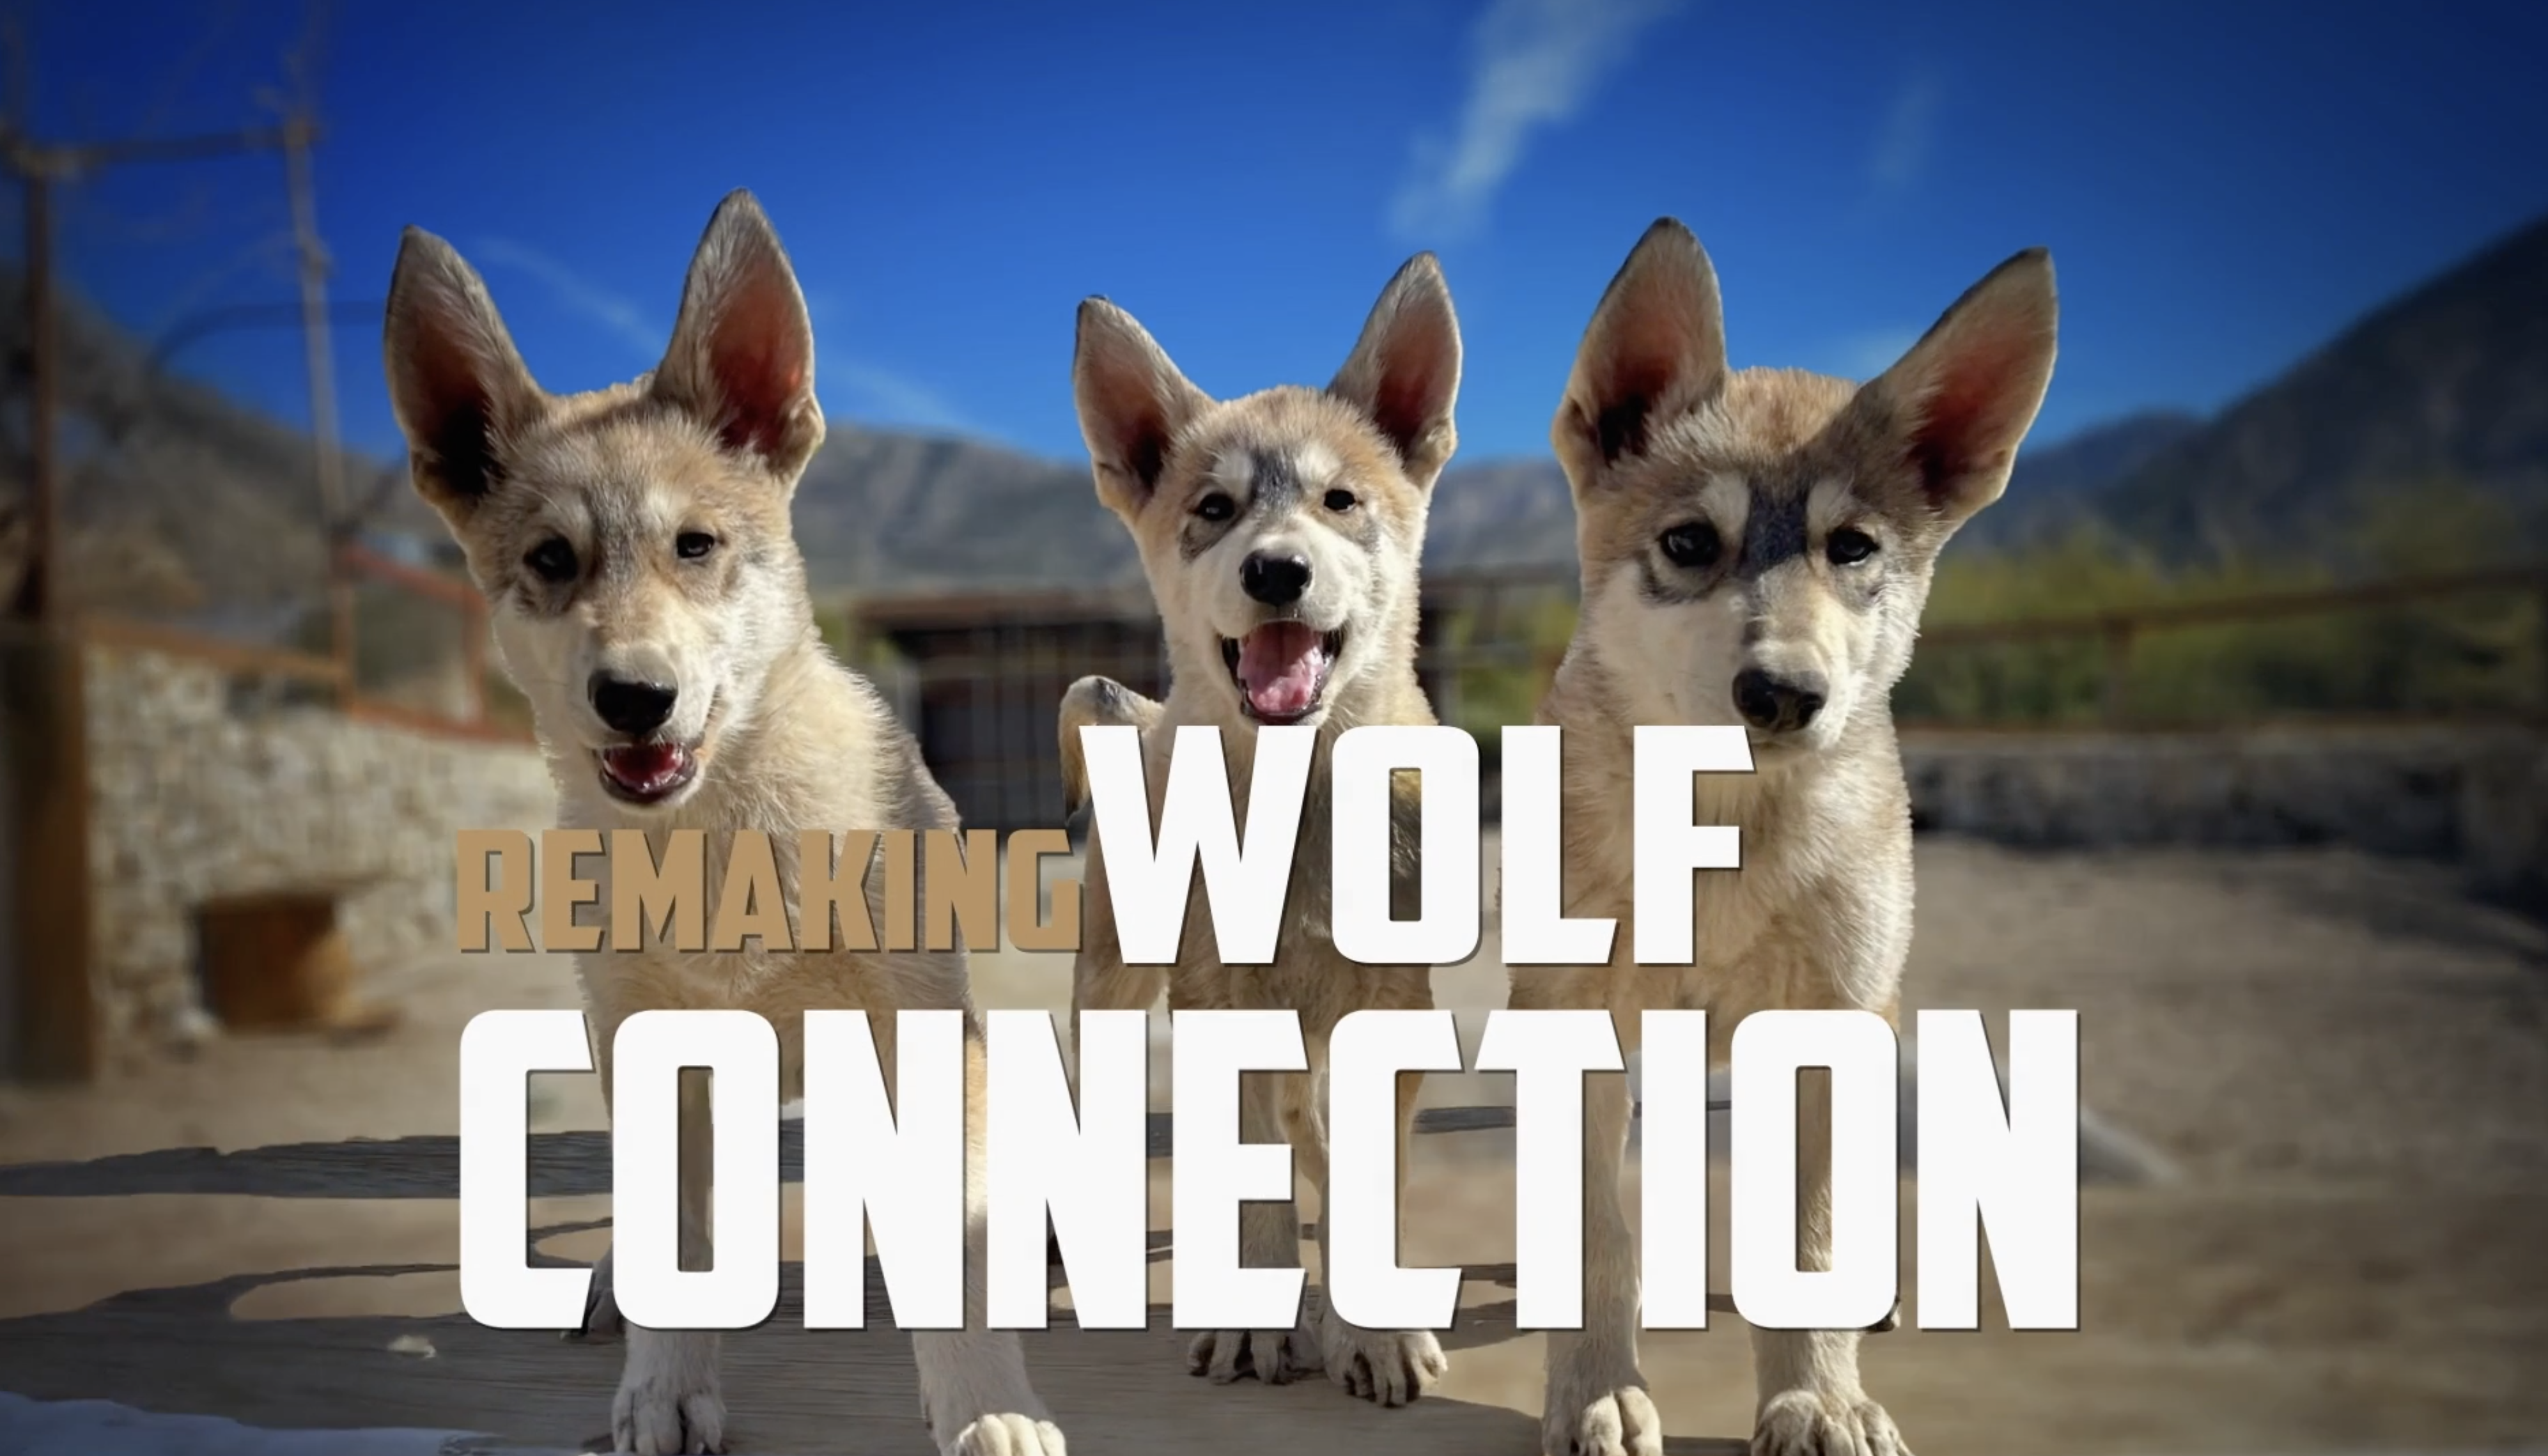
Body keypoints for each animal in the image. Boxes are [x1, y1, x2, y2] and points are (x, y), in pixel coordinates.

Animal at [382, 191, 1064, 1456]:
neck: (722, 838)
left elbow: (953, 1245)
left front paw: (988, 1406)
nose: (634, 697)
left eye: (694, 544)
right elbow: (676, 1241)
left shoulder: (920, 1024)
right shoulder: (648, 1043)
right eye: (550, 560)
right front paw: (662, 1387)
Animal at [1054, 256, 1464, 1408]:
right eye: (1214, 508)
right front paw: (1252, 1321)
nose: (1276, 570)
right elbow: (1251, 1190)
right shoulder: (1216, 997)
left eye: (1340, 501)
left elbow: (1362, 1179)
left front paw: (1375, 1328)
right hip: (1113, 982)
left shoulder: (1390, 1005)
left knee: (1309, 1130)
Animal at [1520, 218, 2058, 1456]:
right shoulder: (1575, 1019)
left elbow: (1808, 1238)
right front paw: (1597, 1388)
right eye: (1687, 542)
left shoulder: (1824, 1032)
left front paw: (1819, 1397)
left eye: (1851, 548)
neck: (1716, 835)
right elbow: (1598, 1238)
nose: (1783, 694)